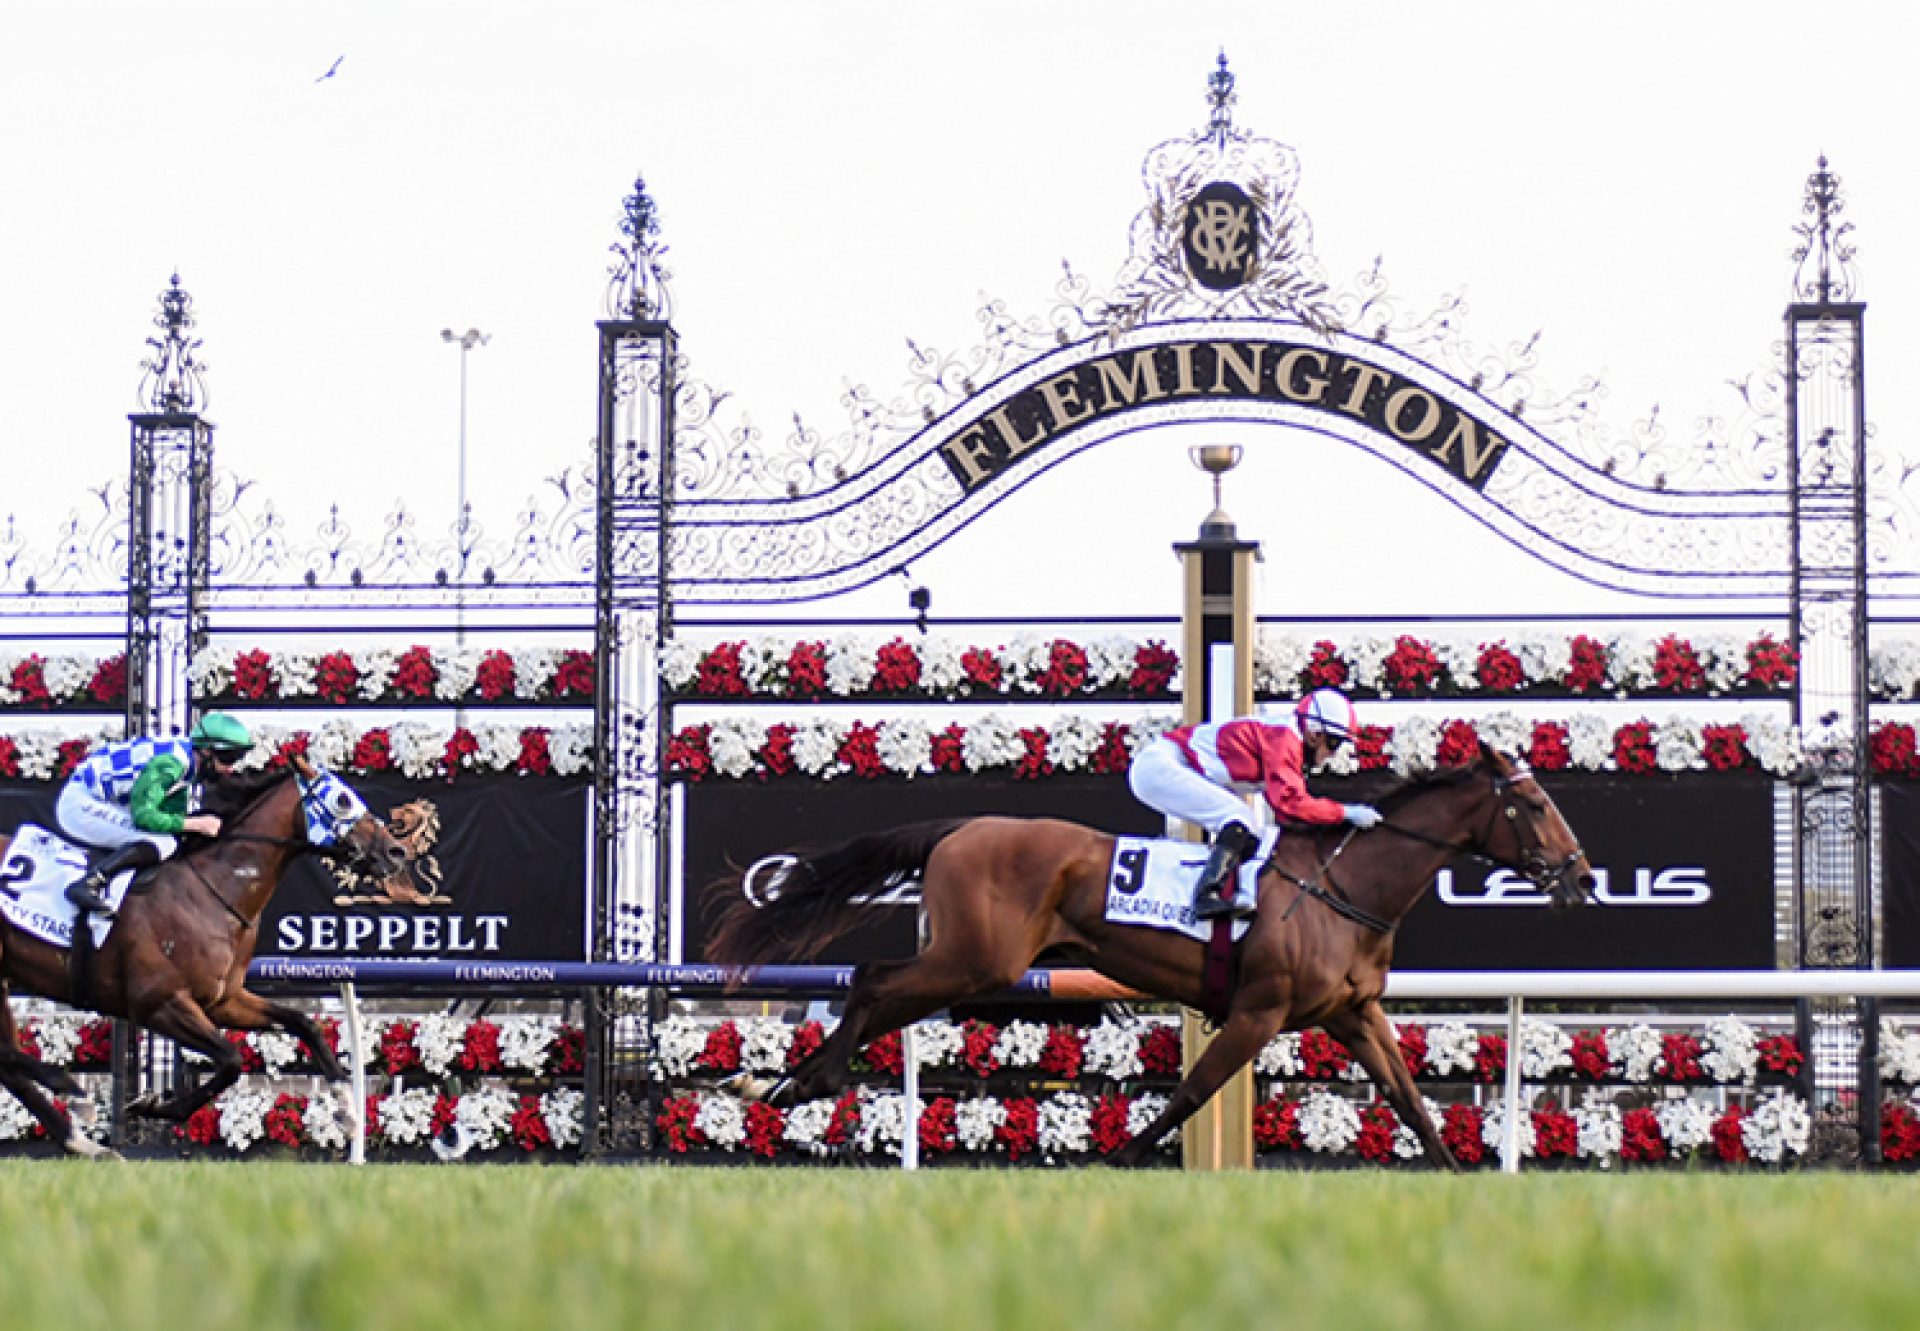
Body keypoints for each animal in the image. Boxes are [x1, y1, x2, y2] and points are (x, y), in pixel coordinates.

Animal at [0, 756, 408, 1152]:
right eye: (343, 800)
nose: (396, 850)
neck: (213, 890)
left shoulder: (223, 1000)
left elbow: (302, 1023)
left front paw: (347, 1108)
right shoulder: (158, 1003)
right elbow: (231, 1060)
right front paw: (153, 1105)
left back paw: (82, 1140)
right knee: (5, 1055)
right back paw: (72, 1093)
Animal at [706, 741, 1589, 1167]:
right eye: (1535, 802)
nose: (1580, 875)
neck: (1343, 885)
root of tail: (961, 827)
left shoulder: (1352, 1012)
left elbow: (1409, 1099)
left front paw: (1456, 1175)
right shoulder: (1259, 1009)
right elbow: (1193, 1091)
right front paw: (1123, 1155)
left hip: (975, 967)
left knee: (880, 996)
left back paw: (790, 1080)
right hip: (975, 962)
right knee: (870, 981)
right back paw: (800, 1081)